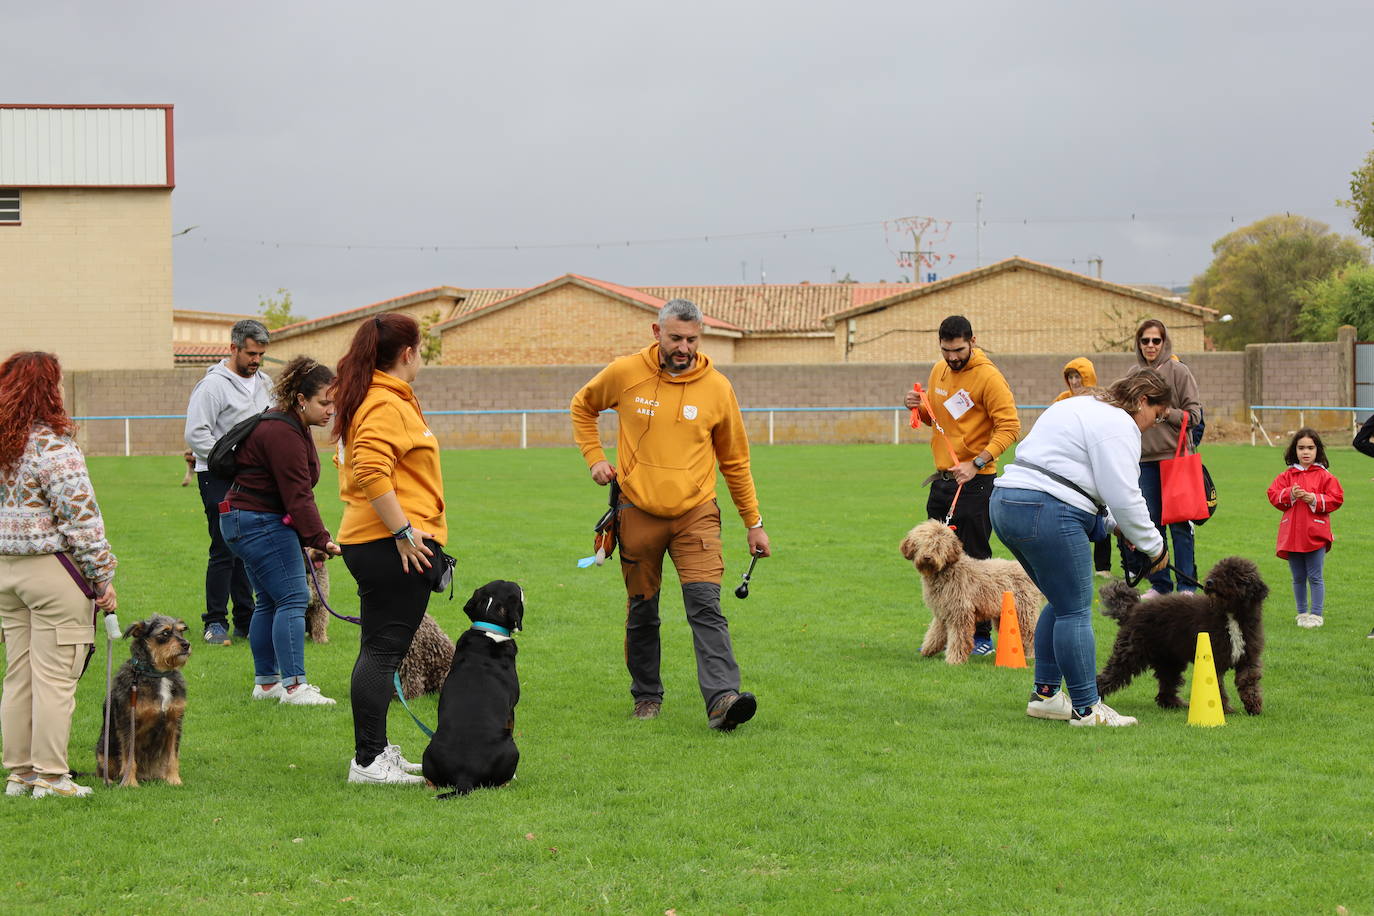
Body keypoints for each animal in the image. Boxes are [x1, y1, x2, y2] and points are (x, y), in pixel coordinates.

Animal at [420, 585, 522, 796]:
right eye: (517, 590)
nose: (523, 587)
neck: (489, 629)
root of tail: (464, 775)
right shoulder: (511, 711)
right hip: (512, 748)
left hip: (429, 751)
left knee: (431, 781)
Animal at [901, 521, 1038, 667]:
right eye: (921, 544)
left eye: (938, 546)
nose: (927, 557)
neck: (948, 570)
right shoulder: (942, 612)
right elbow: (935, 633)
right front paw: (927, 650)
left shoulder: (960, 612)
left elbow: (958, 638)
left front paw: (954, 659)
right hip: (1004, 614)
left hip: (1024, 612)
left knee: (1031, 633)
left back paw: (1032, 655)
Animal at [1099, 554, 1269, 719]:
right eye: (1217, 570)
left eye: (1232, 574)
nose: (1209, 582)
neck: (1231, 614)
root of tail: (1133, 609)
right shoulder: (1214, 659)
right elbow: (1218, 686)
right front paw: (1223, 709)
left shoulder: (1248, 658)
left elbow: (1248, 682)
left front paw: (1253, 706)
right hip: (1131, 652)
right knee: (1110, 674)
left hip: (1169, 660)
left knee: (1167, 685)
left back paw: (1175, 703)